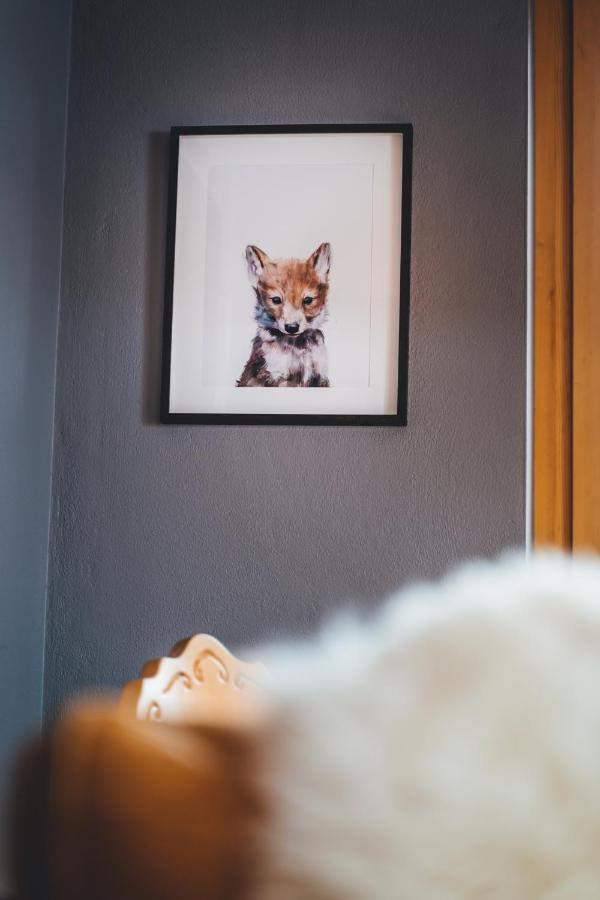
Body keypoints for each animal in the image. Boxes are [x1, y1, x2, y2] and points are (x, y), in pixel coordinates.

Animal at [237, 243, 331, 387]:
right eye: (276, 300)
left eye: (307, 300)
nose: (292, 327)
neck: (296, 350)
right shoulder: (273, 376)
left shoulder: (320, 377)